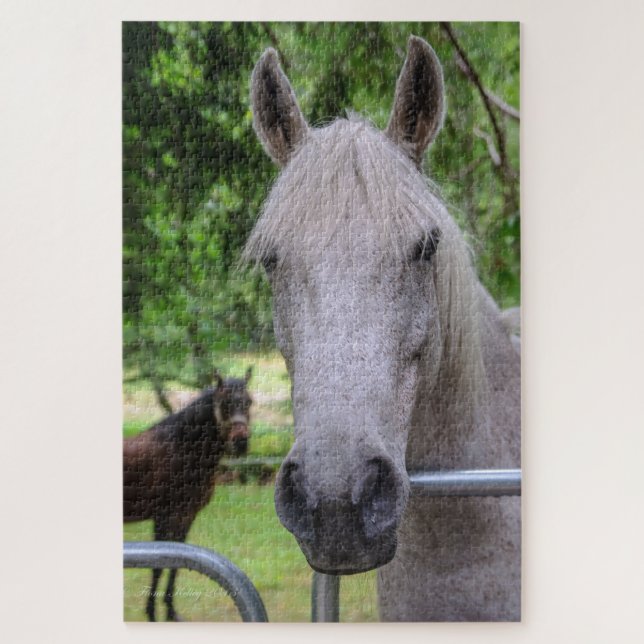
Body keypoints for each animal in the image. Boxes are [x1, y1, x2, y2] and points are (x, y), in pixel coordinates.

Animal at [123, 368, 253, 621]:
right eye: (224, 402)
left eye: (250, 402)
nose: (241, 442)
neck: (181, 450)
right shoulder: (163, 517)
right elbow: (158, 566)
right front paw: (151, 613)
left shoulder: (186, 516)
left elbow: (176, 563)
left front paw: (171, 611)